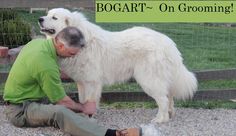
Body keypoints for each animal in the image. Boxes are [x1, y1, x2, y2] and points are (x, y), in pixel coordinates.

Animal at [38, 7, 197, 122]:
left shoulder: (92, 82)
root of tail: (168, 43)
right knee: (169, 96)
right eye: (47, 14)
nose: (40, 19)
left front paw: (89, 116)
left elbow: (90, 100)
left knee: (163, 99)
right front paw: (83, 115)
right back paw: (170, 114)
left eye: (54, 17)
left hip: (149, 79)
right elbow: (82, 100)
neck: (83, 41)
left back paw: (160, 119)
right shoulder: (82, 82)